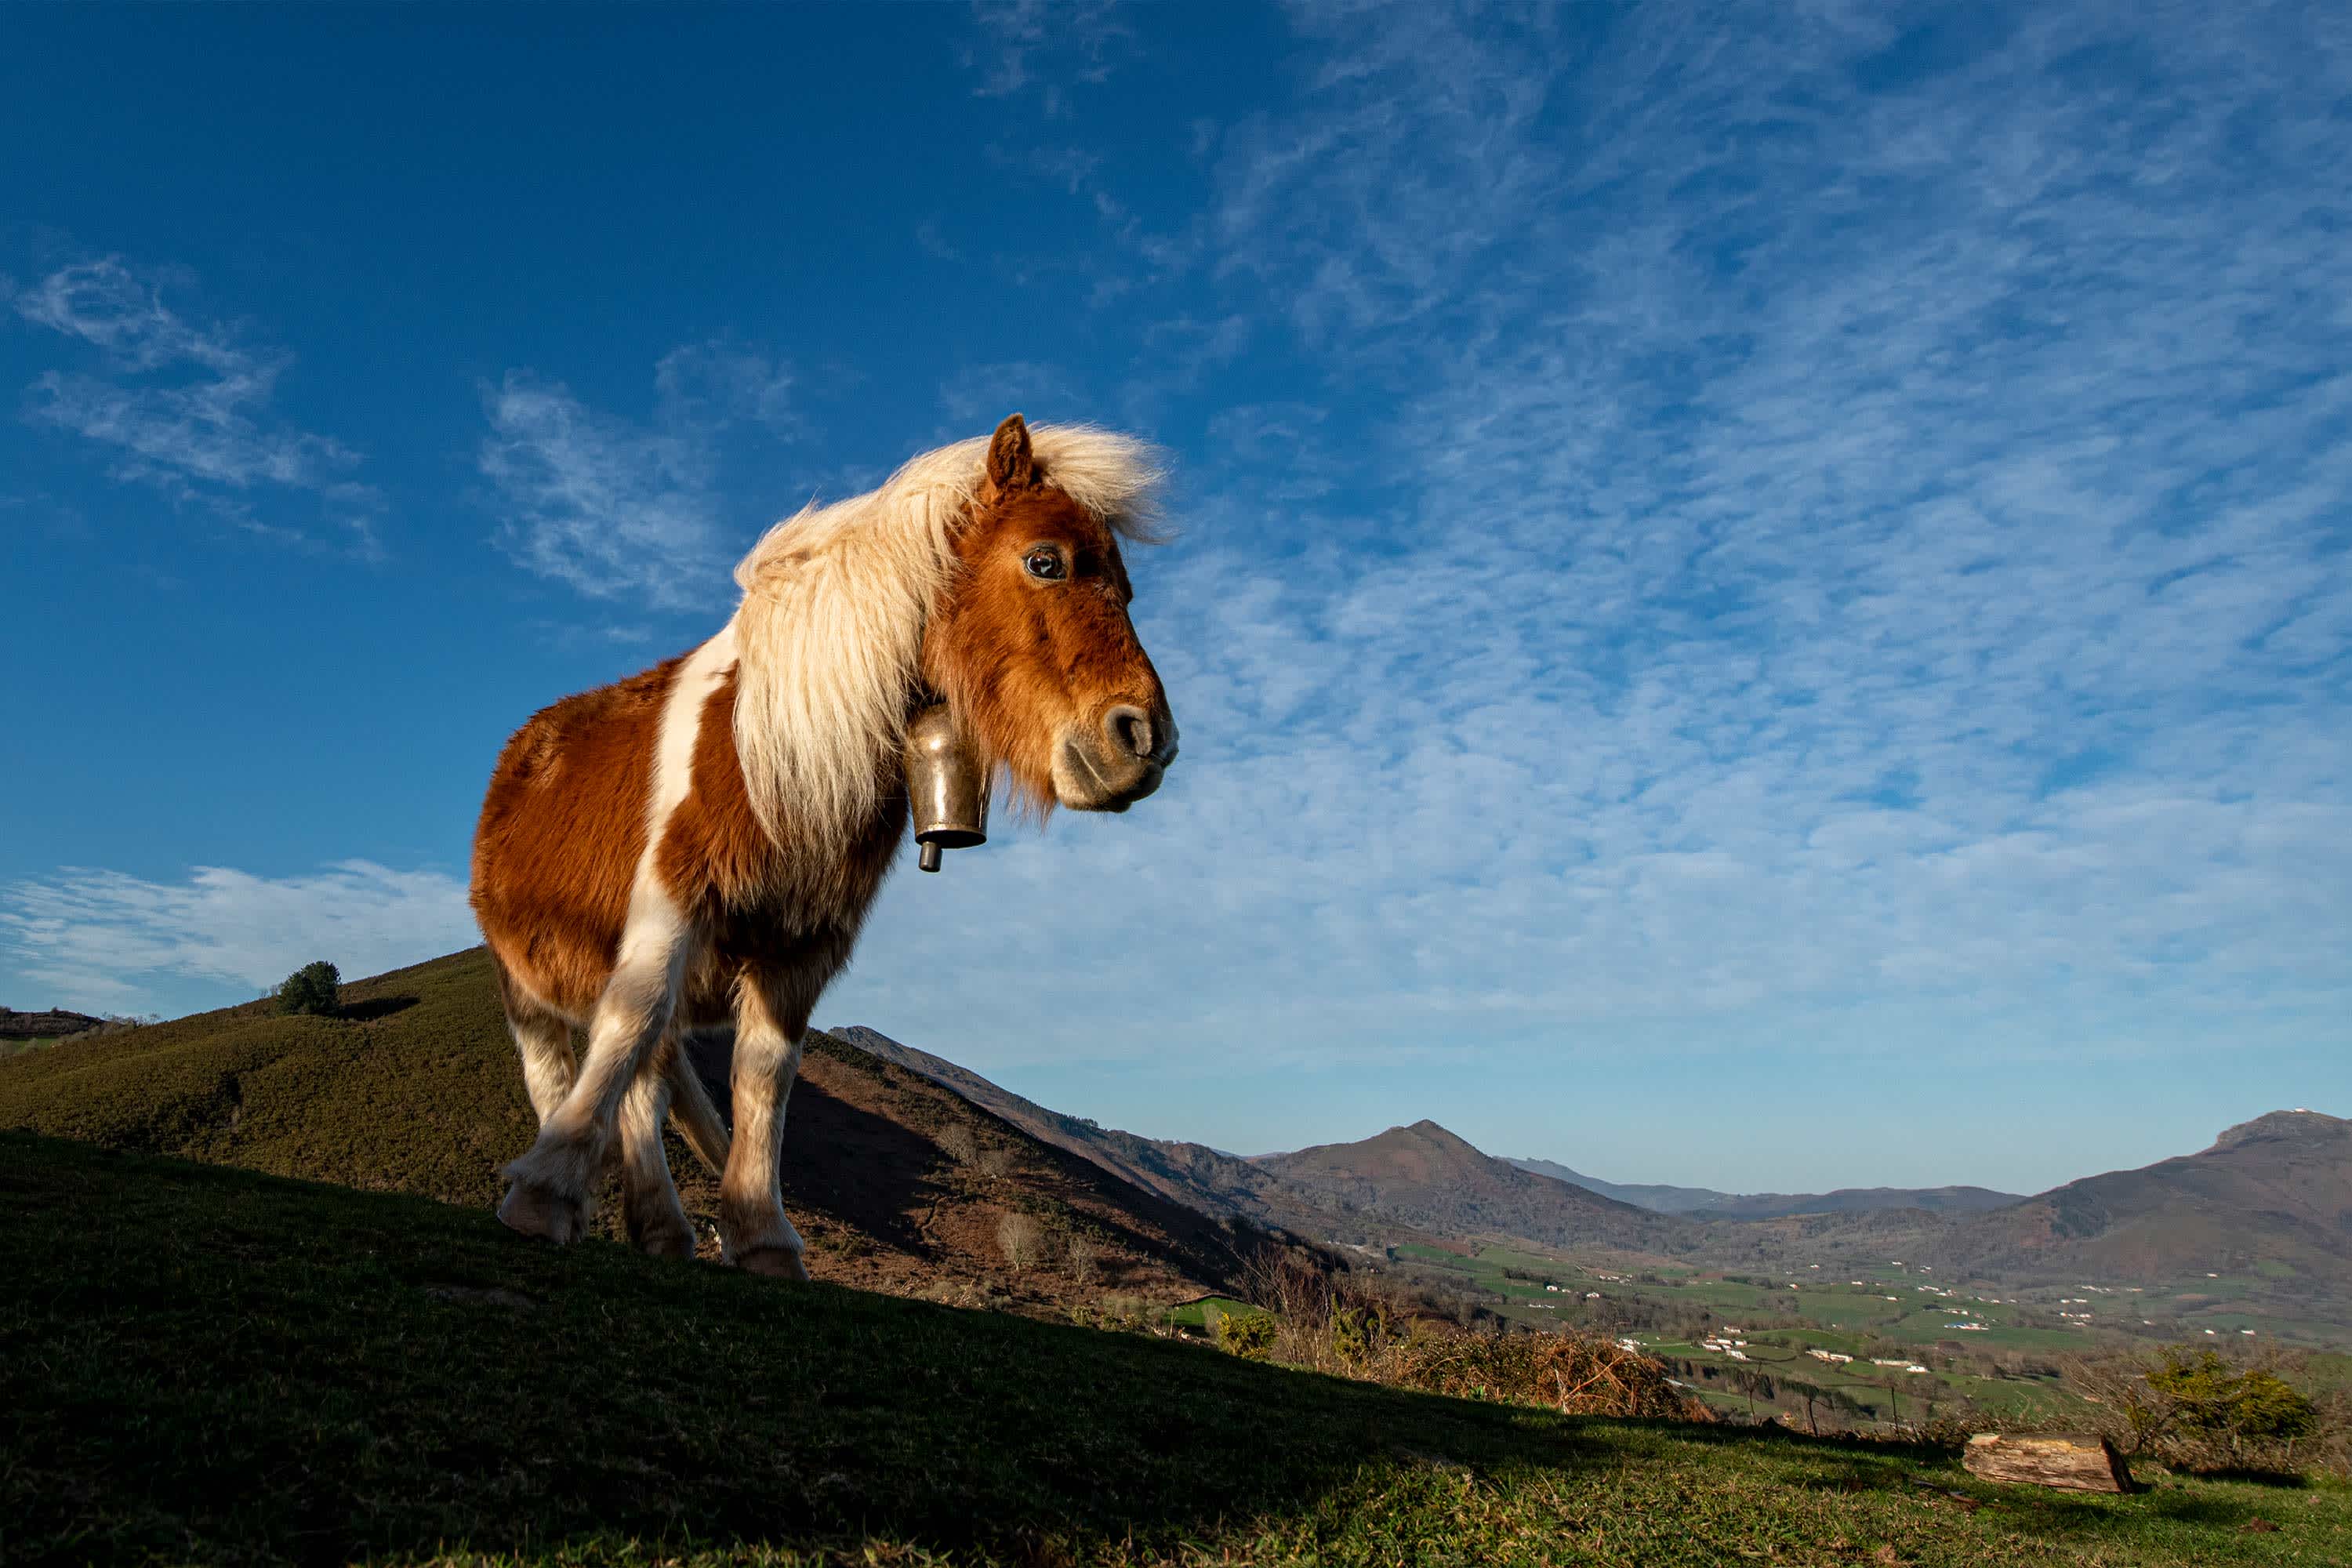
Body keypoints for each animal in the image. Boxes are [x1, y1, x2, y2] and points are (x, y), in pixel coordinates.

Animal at [469, 414, 1178, 1277]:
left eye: (1128, 589)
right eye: (1046, 561)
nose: (1146, 742)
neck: (775, 751)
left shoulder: (805, 946)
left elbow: (764, 1079)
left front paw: (762, 1234)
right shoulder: (670, 901)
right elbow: (631, 1022)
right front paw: (545, 1191)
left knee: (652, 1079)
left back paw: (663, 1229)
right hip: (522, 981)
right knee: (575, 1061)